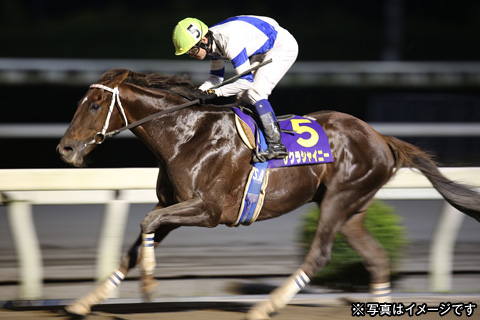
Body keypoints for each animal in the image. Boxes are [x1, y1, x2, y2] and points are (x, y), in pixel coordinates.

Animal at [57, 69, 480, 318]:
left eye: (95, 104)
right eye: (81, 102)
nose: (65, 149)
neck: (186, 135)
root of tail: (380, 137)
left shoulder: (208, 211)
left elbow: (146, 221)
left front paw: (148, 286)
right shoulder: (174, 205)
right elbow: (136, 241)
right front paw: (84, 301)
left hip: (340, 199)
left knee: (320, 254)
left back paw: (266, 305)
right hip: (353, 209)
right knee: (376, 260)